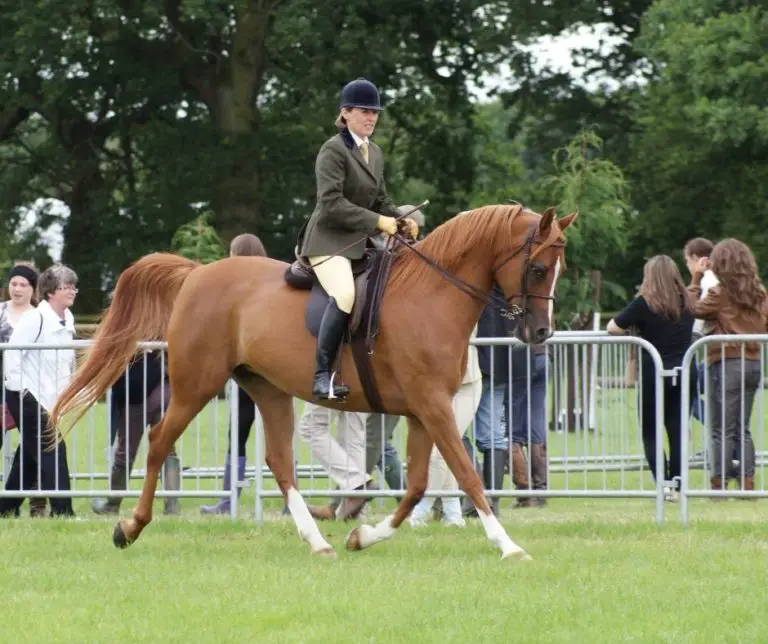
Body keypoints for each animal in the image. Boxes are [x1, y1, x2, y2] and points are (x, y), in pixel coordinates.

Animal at [51, 205, 572, 560]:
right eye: (538, 268)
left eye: (558, 268)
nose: (540, 334)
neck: (432, 295)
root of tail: (198, 275)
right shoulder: (432, 408)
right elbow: (467, 475)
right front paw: (507, 545)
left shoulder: (426, 410)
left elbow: (419, 485)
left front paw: (362, 536)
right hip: (197, 384)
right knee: (160, 442)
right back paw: (130, 527)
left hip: (267, 390)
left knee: (280, 461)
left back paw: (317, 540)